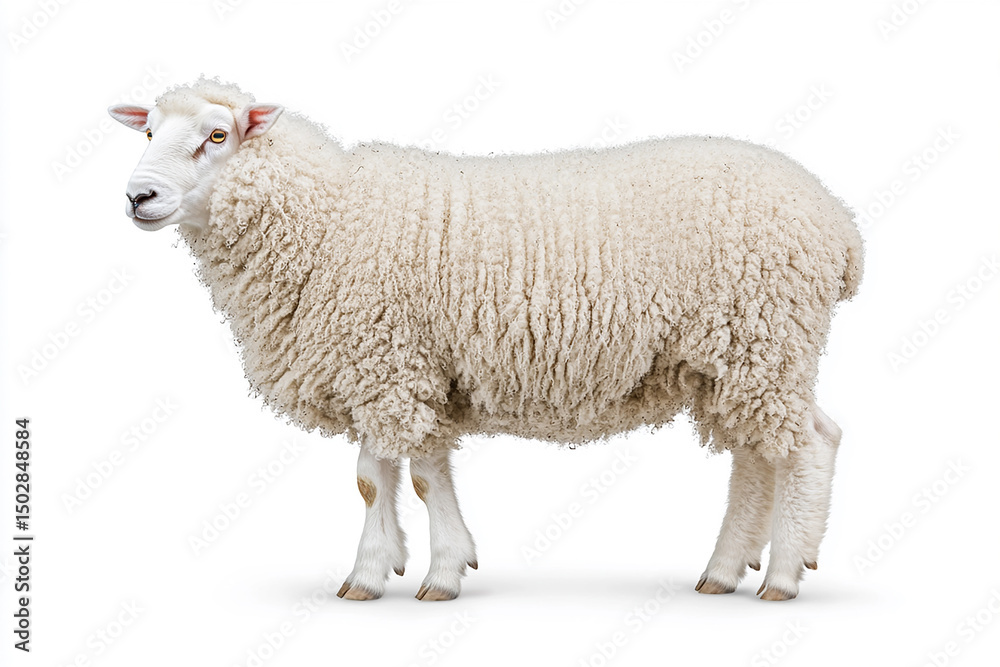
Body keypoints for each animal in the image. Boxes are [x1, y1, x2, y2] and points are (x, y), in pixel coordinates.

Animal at [109, 77, 863, 603]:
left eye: (216, 136)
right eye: (146, 132)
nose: (138, 197)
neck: (327, 218)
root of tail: (839, 223)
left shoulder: (385, 362)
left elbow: (381, 479)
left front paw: (379, 573)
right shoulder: (410, 369)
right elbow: (410, 474)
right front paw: (435, 564)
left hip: (767, 336)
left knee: (808, 445)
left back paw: (783, 575)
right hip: (735, 356)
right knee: (760, 456)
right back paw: (724, 569)